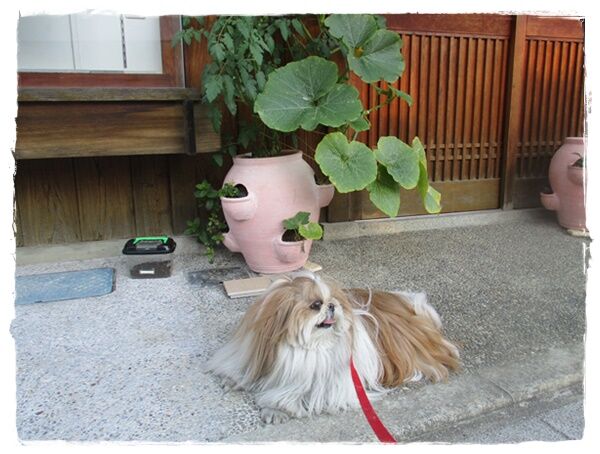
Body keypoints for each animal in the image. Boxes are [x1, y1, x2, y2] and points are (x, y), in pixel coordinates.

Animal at [206, 271, 459, 424]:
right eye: (315, 304)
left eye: (332, 301)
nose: (331, 306)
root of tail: (407, 305)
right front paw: (233, 379)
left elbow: (287, 394)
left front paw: (275, 409)